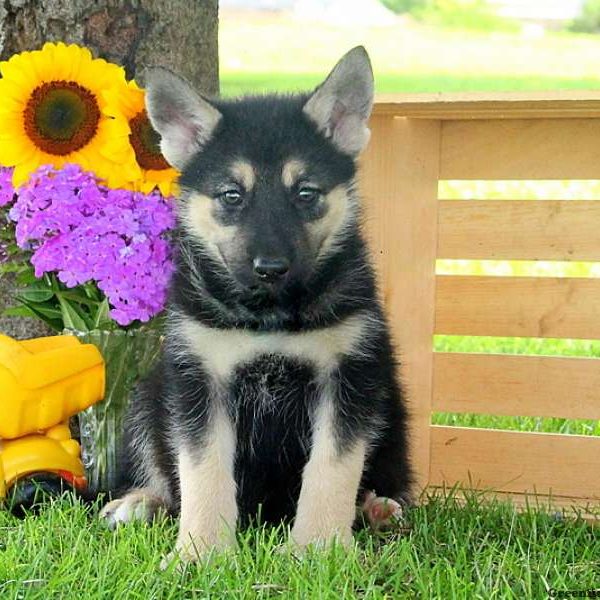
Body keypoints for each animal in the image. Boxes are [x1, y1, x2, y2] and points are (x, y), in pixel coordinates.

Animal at [102, 45, 412, 564]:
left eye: (305, 193)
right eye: (232, 194)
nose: (271, 268)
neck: (270, 317)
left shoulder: (348, 378)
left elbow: (332, 470)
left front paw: (320, 548)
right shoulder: (199, 381)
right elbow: (202, 472)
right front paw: (200, 552)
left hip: (391, 405)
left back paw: (377, 509)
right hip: (149, 396)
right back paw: (139, 502)